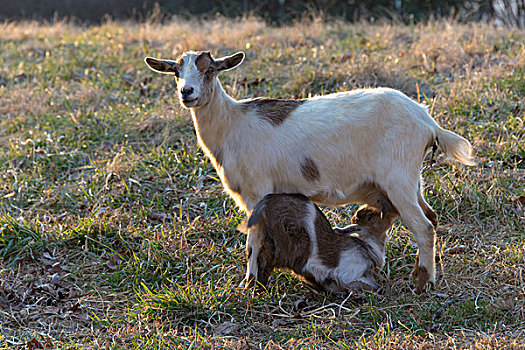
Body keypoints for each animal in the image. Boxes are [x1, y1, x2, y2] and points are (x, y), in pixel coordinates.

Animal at [238, 193, 398, 294]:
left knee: (256, 259)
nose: (357, 215)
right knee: (262, 261)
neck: (367, 245)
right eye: (372, 215)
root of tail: (265, 204)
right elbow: (369, 286)